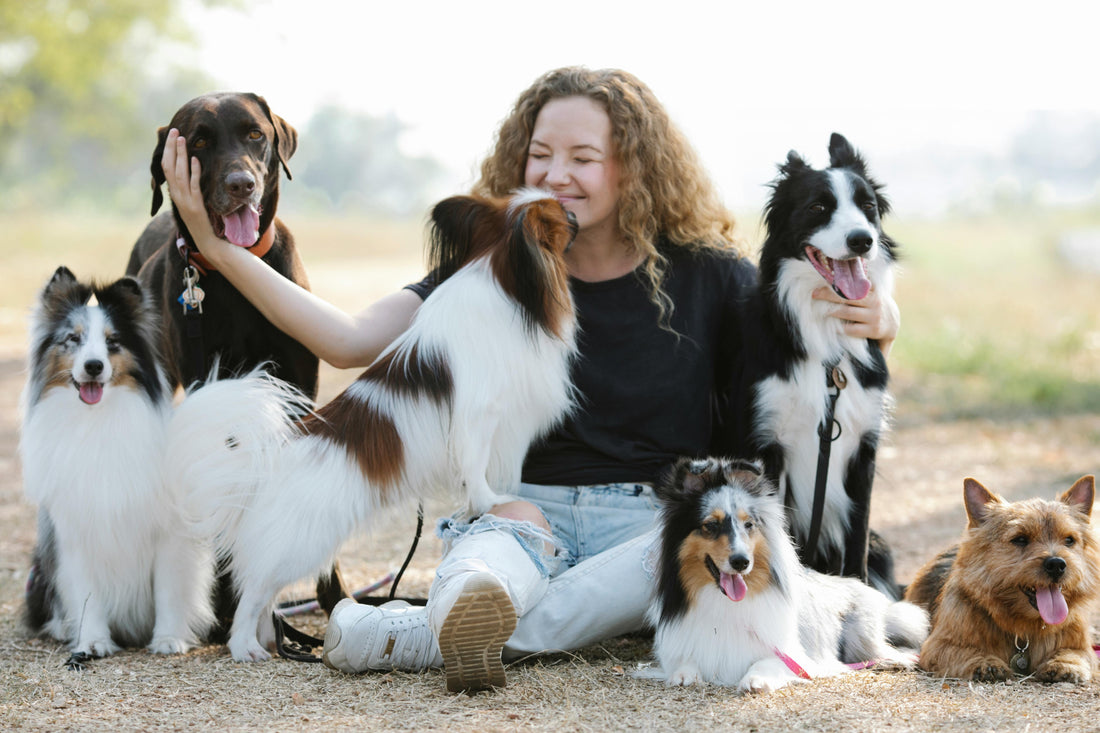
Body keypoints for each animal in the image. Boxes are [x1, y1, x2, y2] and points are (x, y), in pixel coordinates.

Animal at [18, 265, 212, 660]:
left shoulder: (169, 531)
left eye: (112, 342)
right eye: (73, 339)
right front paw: (93, 641)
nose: (94, 367)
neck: (99, 420)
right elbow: (87, 594)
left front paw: (168, 638)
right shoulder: (75, 531)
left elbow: (168, 588)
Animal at [165, 187, 576, 655]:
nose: (577, 216)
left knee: (264, 596)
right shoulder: (478, 417)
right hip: (302, 546)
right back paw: (244, 648)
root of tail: (263, 462)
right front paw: (490, 502)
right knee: (252, 595)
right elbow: (476, 470)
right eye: (561, 214)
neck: (506, 277)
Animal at [646, 457, 924, 691]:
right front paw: (684, 674)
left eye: (749, 524)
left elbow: (766, 662)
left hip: (862, 635)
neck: (724, 603)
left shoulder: (796, 655)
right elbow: (684, 661)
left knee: (888, 650)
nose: (741, 562)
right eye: (711, 525)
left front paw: (755, 679)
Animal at [902, 473, 1100, 677]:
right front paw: (984, 662)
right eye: (1020, 539)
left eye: (1069, 540)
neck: (1024, 627)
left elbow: (1076, 653)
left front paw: (1066, 663)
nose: (1056, 564)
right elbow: (961, 652)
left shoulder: (1081, 646)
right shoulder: (939, 645)